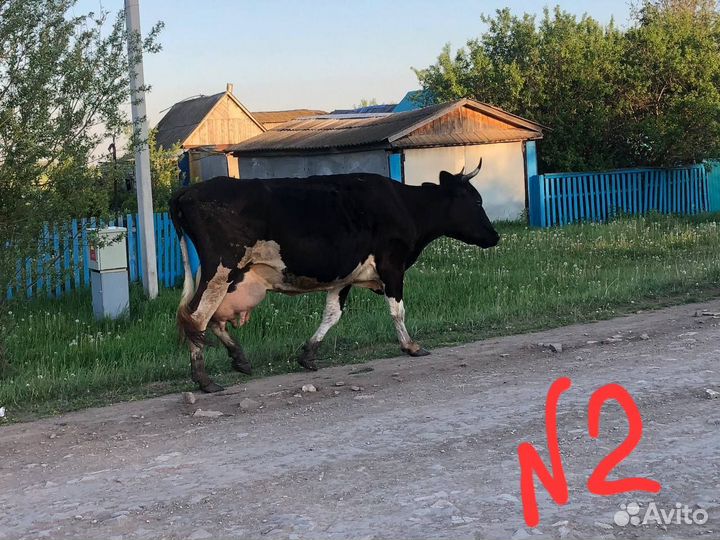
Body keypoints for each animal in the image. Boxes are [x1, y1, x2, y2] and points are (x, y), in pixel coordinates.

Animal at [169, 160, 499, 393]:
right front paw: (411, 346)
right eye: (477, 201)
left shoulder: (344, 277)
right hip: (221, 270)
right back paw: (204, 380)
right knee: (197, 318)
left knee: (208, 320)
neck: (407, 205)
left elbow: (332, 314)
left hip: (226, 277)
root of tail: (189, 191)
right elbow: (398, 311)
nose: (495, 236)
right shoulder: (392, 266)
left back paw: (239, 358)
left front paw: (308, 355)